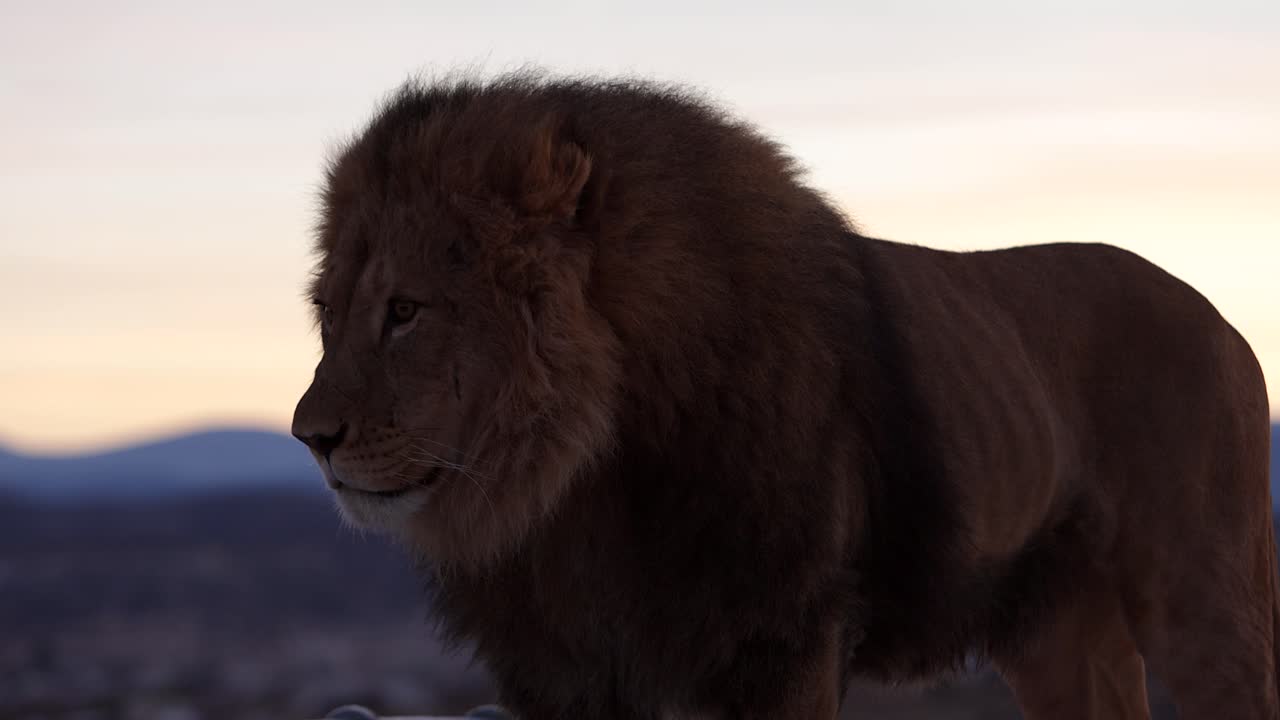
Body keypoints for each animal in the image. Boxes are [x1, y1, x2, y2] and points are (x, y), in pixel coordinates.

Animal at [292, 74, 1276, 719]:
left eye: (406, 311)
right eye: (328, 313)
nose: (309, 437)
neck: (584, 486)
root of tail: (1226, 324)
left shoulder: (781, 646)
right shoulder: (563, 672)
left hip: (1204, 611)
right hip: (1060, 635)